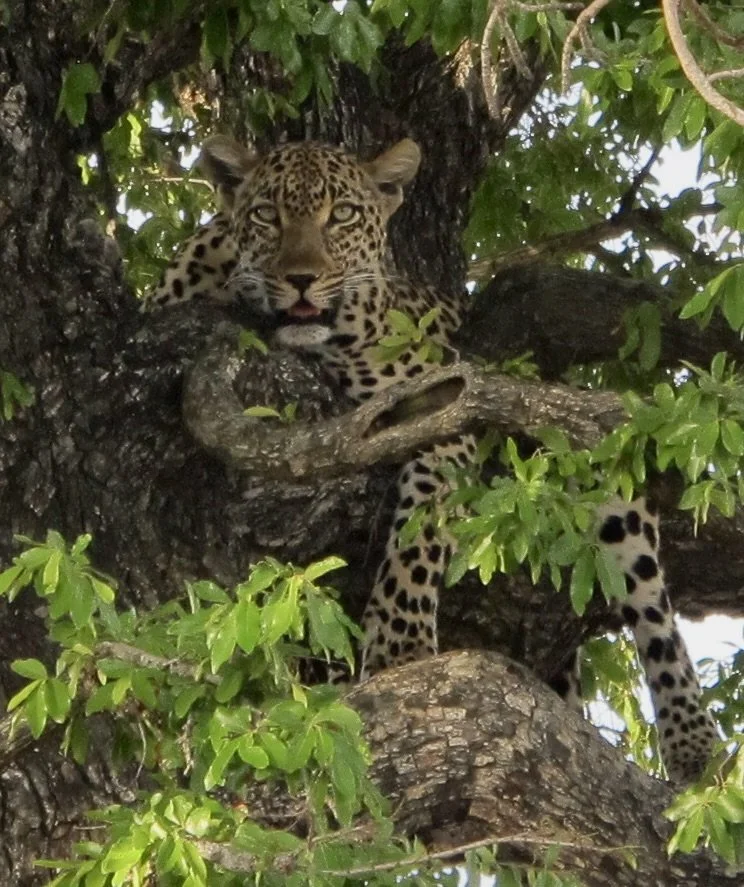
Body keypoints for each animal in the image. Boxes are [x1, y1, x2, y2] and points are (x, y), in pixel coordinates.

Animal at [141, 135, 719, 785]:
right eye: (267, 215)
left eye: (342, 215)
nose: (301, 280)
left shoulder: (446, 407)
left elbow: (419, 535)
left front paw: (403, 647)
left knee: (657, 617)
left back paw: (693, 745)